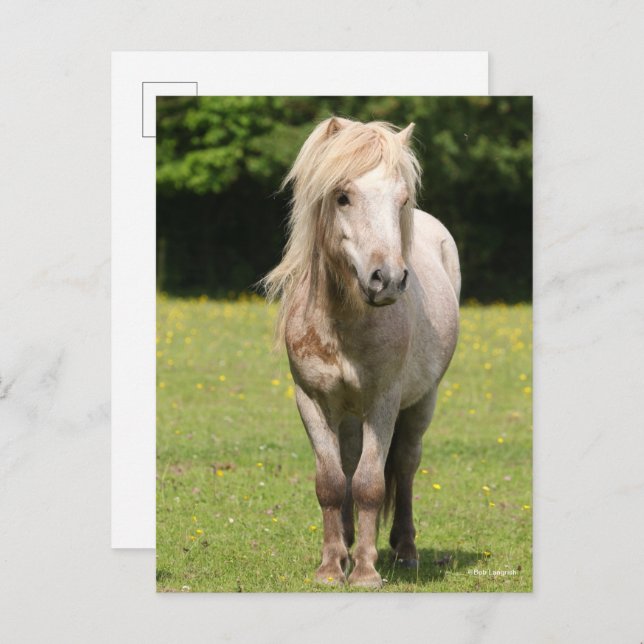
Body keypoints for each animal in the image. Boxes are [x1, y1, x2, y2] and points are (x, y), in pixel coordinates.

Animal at [262, 116, 460, 588]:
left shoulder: (383, 402)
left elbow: (372, 481)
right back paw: (349, 543)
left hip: (422, 402)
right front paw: (331, 566)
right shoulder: (311, 401)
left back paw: (405, 551)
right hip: (348, 412)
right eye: (343, 196)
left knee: (404, 466)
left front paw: (367, 571)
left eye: (402, 199)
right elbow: (332, 482)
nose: (386, 279)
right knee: (348, 465)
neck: (342, 321)